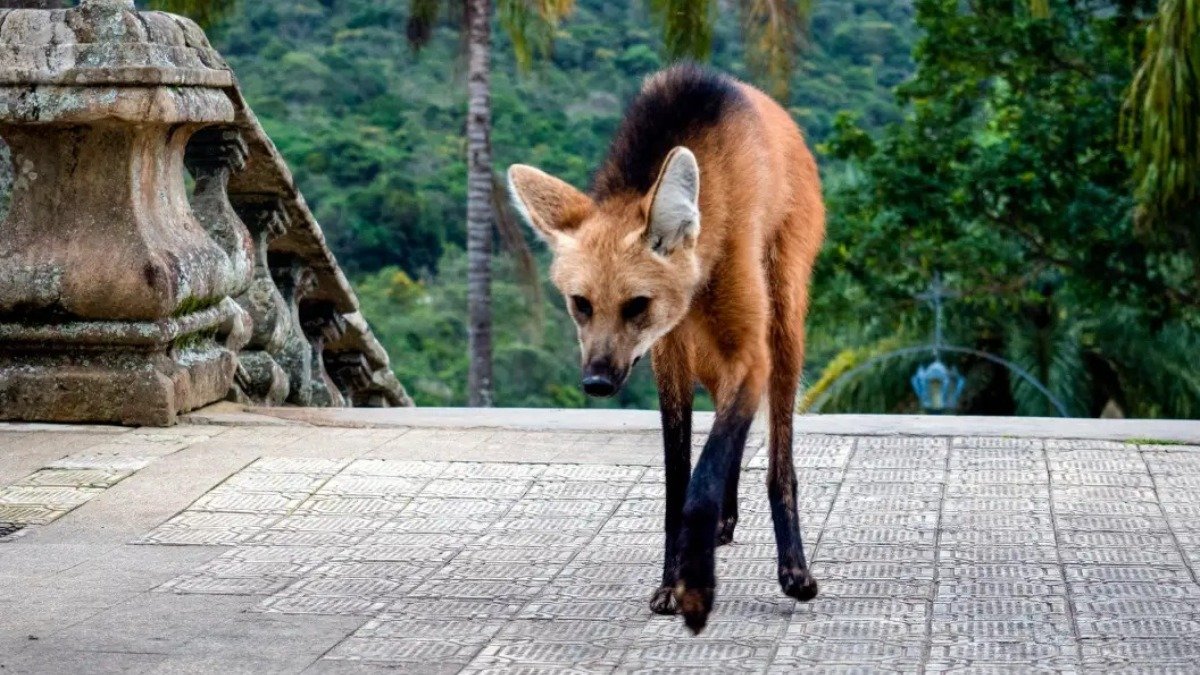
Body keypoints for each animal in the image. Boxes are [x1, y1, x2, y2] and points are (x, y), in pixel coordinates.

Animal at [507, 63, 825, 633]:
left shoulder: (748, 347)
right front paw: (670, 581)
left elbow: (703, 475)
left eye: (637, 304)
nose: (597, 382)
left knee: (778, 450)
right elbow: (679, 477)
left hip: (784, 308)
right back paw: (727, 518)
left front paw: (695, 584)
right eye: (581, 304)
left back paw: (793, 568)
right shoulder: (667, 349)